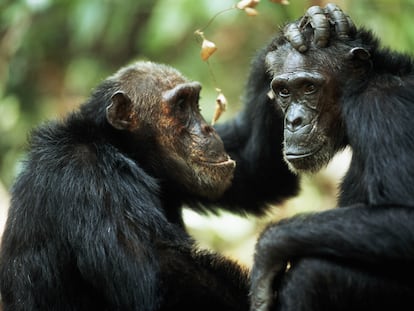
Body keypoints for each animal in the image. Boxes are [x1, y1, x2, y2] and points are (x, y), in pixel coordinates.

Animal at [249, 3, 414, 311]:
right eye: (284, 91)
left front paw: (267, 250)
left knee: (313, 274)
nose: (294, 121)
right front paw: (310, 23)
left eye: (309, 87)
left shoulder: (385, 109)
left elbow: (405, 219)